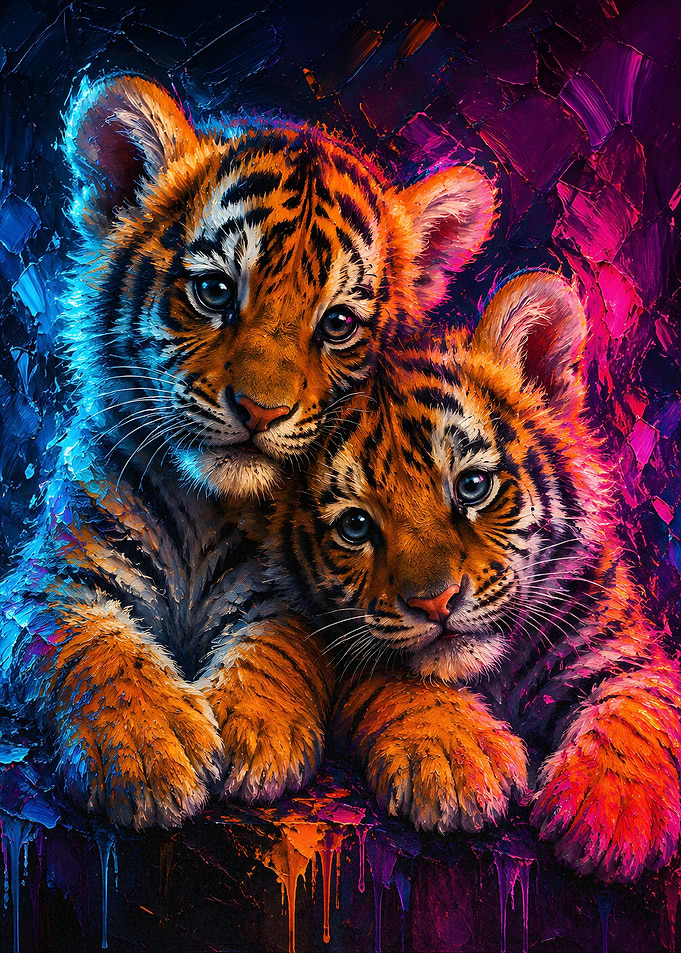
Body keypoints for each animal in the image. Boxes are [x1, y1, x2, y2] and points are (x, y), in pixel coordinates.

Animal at [0, 73, 497, 828]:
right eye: (214, 291)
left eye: (338, 324)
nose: (261, 409)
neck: (203, 508)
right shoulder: (49, 581)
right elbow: (95, 645)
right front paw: (147, 746)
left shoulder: (297, 597)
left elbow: (283, 646)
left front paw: (264, 728)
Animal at [217, 269, 681, 884]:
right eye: (356, 525)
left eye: (473, 487)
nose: (436, 603)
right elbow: (402, 681)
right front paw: (457, 761)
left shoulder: (623, 647)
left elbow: (638, 709)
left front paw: (613, 811)